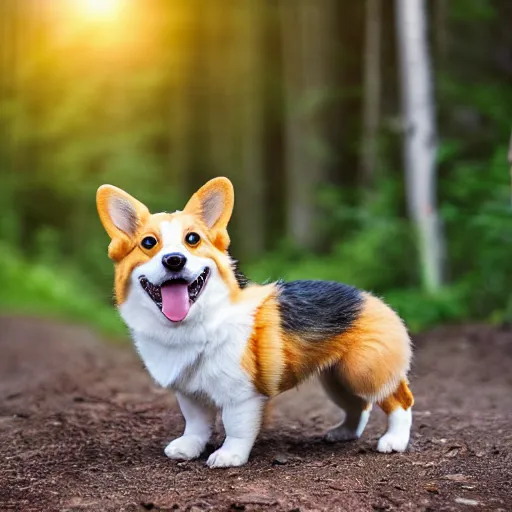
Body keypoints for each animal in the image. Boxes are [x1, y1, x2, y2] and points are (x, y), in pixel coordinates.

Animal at [97, 176, 416, 468]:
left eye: (193, 239)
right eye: (149, 243)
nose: (174, 260)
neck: (196, 322)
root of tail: (374, 299)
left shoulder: (242, 396)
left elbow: (236, 427)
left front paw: (229, 456)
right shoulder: (190, 393)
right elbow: (196, 423)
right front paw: (188, 448)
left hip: (363, 371)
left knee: (400, 400)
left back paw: (394, 440)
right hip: (337, 378)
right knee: (358, 405)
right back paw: (343, 433)